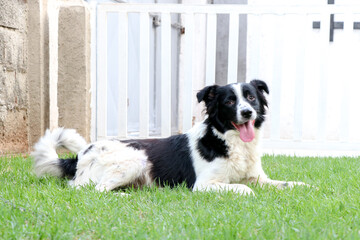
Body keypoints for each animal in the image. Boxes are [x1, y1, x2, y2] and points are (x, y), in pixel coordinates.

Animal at [32, 79, 306, 195]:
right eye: (229, 101)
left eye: (251, 98)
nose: (247, 112)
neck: (229, 141)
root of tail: (82, 154)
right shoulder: (203, 185)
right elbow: (242, 188)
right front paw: (247, 193)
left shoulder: (259, 178)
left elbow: (288, 183)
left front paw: (304, 187)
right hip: (136, 159)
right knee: (94, 190)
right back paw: (122, 196)